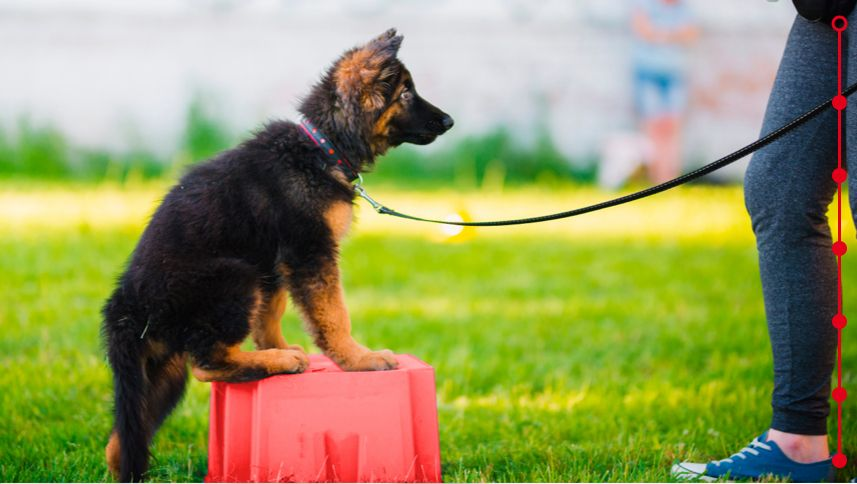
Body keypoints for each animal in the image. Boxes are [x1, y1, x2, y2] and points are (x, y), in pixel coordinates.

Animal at [103, 29, 454, 480]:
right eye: (407, 93)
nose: (449, 121)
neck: (322, 149)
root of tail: (126, 306)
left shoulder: (275, 266)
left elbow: (270, 315)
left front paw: (285, 345)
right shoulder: (309, 252)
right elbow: (333, 314)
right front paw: (358, 359)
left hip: (162, 372)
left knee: (122, 440)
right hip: (234, 277)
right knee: (208, 364)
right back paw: (277, 362)